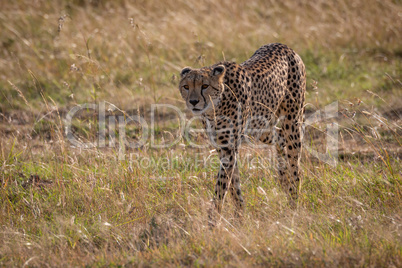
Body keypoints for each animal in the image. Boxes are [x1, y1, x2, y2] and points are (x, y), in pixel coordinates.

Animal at [177, 43, 306, 221]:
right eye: (186, 87)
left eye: (204, 86)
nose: (193, 101)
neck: (215, 107)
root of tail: (283, 46)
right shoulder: (222, 147)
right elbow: (233, 183)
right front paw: (239, 215)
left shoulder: (229, 148)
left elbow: (222, 185)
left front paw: (213, 220)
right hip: (259, 127)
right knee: (280, 137)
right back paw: (283, 177)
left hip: (292, 121)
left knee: (295, 163)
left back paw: (293, 199)